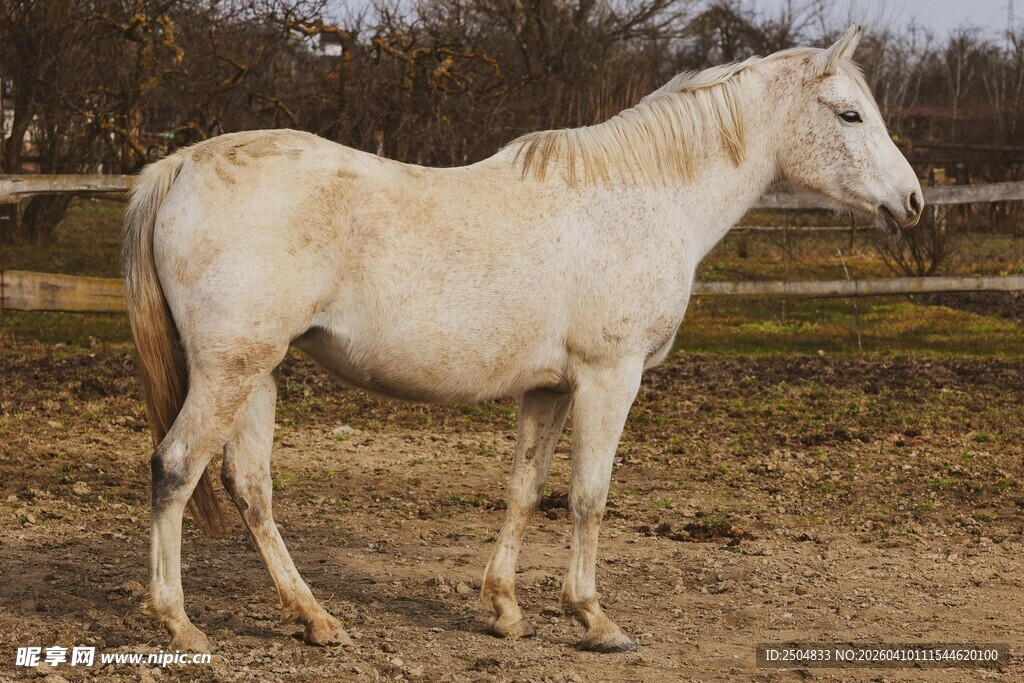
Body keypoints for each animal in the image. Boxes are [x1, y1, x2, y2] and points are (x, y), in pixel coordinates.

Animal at [123, 24, 921, 653]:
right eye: (849, 114)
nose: (911, 201)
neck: (641, 197)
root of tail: (180, 163)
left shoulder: (548, 389)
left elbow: (525, 490)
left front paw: (504, 609)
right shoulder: (609, 377)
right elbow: (589, 496)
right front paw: (595, 619)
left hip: (255, 373)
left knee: (250, 487)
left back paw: (316, 618)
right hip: (230, 371)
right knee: (176, 467)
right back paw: (180, 622)